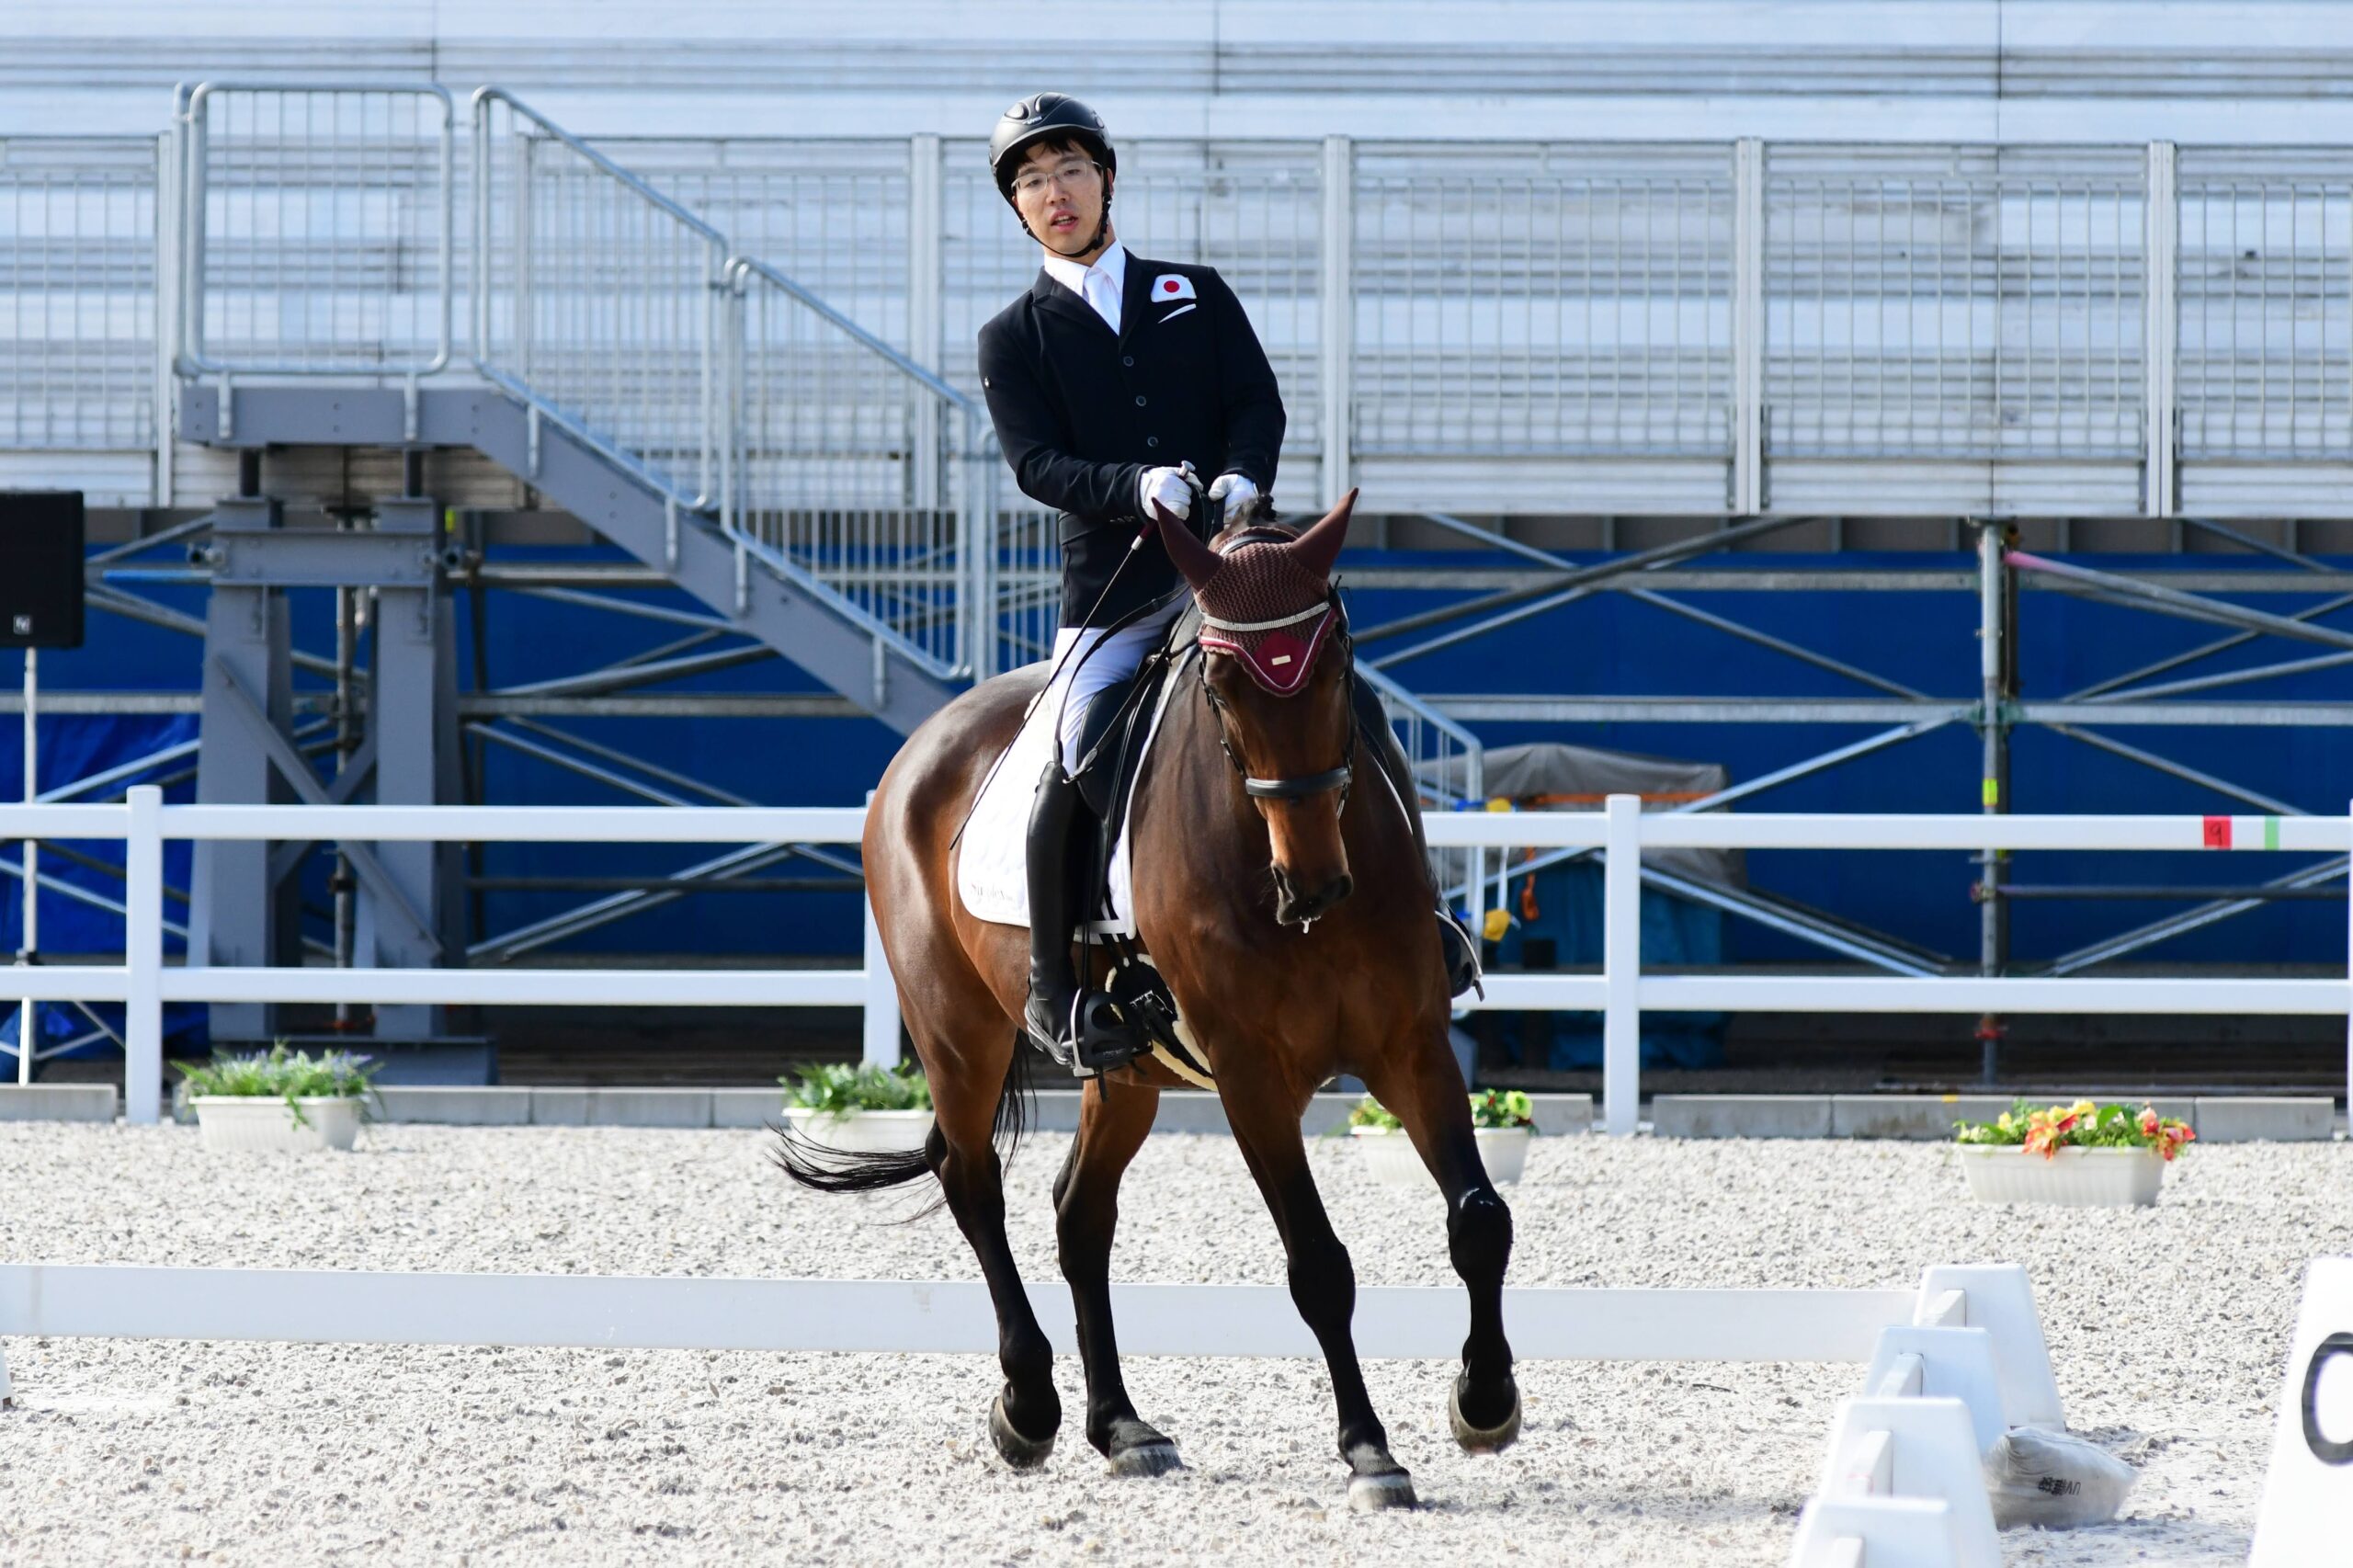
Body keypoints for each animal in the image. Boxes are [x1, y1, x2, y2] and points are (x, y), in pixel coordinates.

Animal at [779, 491, 1519, 1511]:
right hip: (956, 1032)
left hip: (1126, 1074)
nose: (1313, 884)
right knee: (974, 1183)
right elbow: (1318, 1264)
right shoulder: (1251, 1076)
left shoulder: (1410, 1044)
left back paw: (1121, 1426)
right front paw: (1370, 1450)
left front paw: (1484, 1402)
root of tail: (924, 742)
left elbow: (1480, 1217)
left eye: (1337, 662)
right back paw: (1029, 1406)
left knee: (1077, 1213)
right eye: (1221, 683)